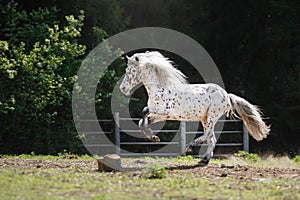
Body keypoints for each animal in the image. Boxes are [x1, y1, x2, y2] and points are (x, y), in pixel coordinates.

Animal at [119, 51, 270, 166]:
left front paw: (153, 137)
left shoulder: (165, 110)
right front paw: (154, 137)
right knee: (211, 138)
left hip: (212, 116)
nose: (122, 89)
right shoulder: (160, 115)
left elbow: (144, 111)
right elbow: (142, 121)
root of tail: (226, 95)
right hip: (205, 118)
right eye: (126, 70)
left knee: (208, 135)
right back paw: (204, 160)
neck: (160, 88)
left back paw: (191, 146)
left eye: (132, 71)